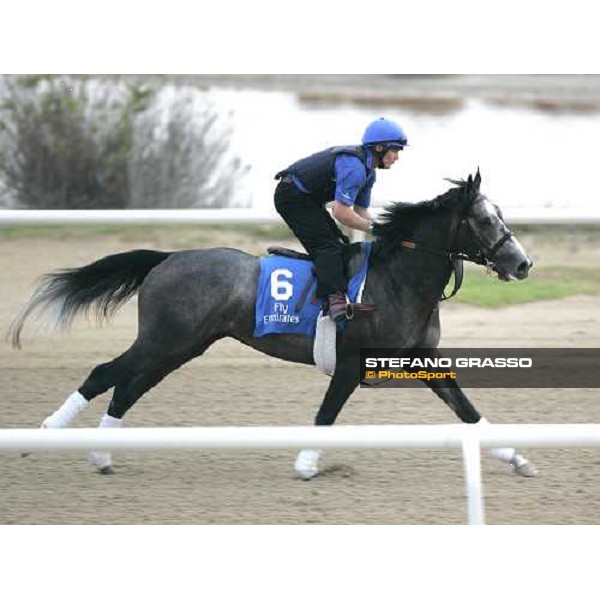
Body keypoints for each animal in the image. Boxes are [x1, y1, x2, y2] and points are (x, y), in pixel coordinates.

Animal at [9, 171, 536, 476]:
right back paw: (52, 429)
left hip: (181, 345)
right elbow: (327, 414)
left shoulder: (418, 358)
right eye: (485, 220)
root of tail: (168, 257)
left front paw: (516, 457)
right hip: (164, 339)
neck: (398, 279)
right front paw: (305, 464)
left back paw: (101, 453)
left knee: (129, 386)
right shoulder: (351, 363)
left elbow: (466, 409)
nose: (523, 263)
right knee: (106, 373)